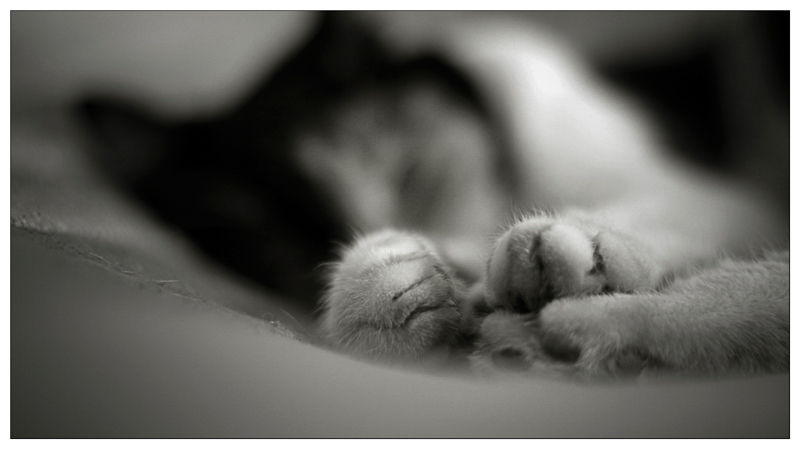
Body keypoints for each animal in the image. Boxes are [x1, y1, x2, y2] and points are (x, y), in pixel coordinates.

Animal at [79, 12, 788, 377]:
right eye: (282, 244)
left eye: (416, 174)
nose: (383, 226)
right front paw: (390, 280)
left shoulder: (708, 191)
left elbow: (663, 209)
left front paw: (570, 249)